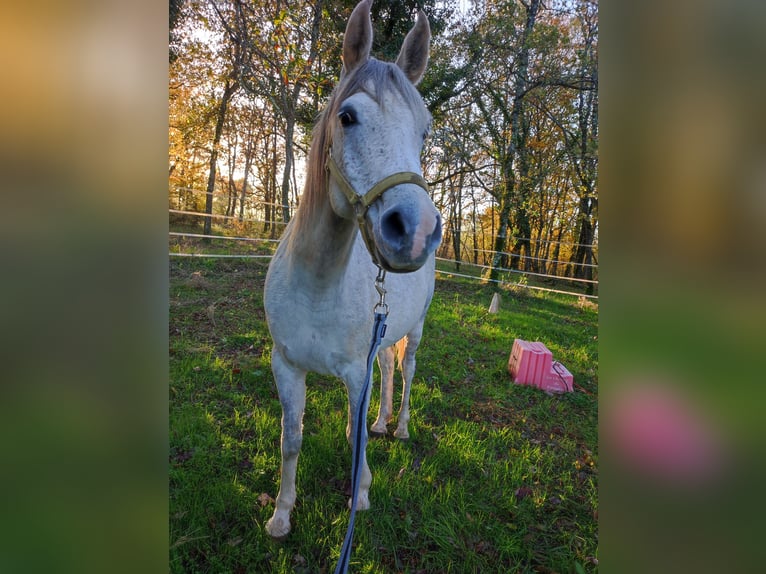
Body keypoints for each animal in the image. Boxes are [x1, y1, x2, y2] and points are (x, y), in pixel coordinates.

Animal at [266, 0, 440, 544]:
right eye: (347, 117)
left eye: (424, 130)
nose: (415, 231)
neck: (318, 287)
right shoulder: (286, 366)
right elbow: (292, 439)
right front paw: (281, 514)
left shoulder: (353, 373)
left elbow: (355, 431)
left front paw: (360, 492)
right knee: (387, 368)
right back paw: (383, 421)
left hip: (417, 328)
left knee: (405, 370)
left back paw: (398, 426)